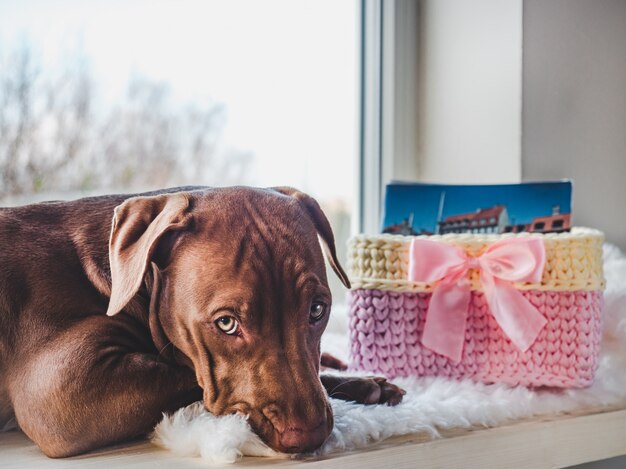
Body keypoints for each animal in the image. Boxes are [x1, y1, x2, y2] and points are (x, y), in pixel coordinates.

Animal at [0, 186, 402, 458]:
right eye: (226, 324)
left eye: (317, 310)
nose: (307, 436)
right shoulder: (61, 391)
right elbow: (184, 375)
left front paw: (361, 382)